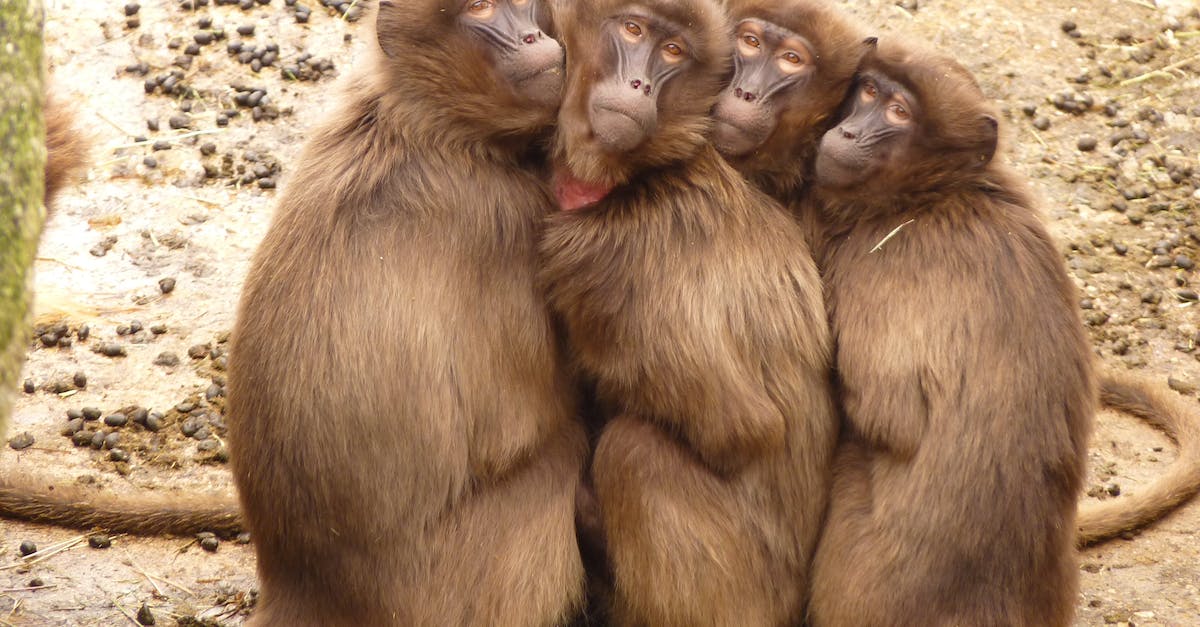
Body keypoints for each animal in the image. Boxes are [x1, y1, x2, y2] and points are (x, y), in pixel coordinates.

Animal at [223, 1, 587, 625]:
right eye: (481, 9)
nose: (531, 36)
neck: (421, 125)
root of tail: (302, 586)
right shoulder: (502, 216)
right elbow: (527, 423)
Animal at [541, 1, 838, 625]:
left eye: (673, 52)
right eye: (632, 30)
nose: (640, 84)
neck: (636, 178)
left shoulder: (613, 264)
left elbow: (741, 429)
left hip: (743, 590)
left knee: (635, 452)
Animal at [804, 37, 1094, 626]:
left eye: (898, 112)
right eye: (868, 91)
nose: (848, 132)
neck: (934, 197)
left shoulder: (886, 261)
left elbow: (887, 414)